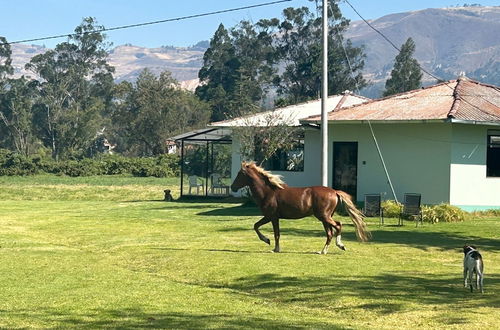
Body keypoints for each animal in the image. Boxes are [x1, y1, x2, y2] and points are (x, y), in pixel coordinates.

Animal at [231, 162, 372, 253]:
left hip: (324, 216)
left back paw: (340, 245)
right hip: (324, 218)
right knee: (330, 233)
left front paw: (270, 244)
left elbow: (271, 232)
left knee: (338, 225)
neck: (269, 191)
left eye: (240, 174)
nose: (232, 187)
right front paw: (271, 244)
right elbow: (259, 227)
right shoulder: (272, 217)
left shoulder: (271, 216)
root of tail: (334, 192)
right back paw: (323, 251)